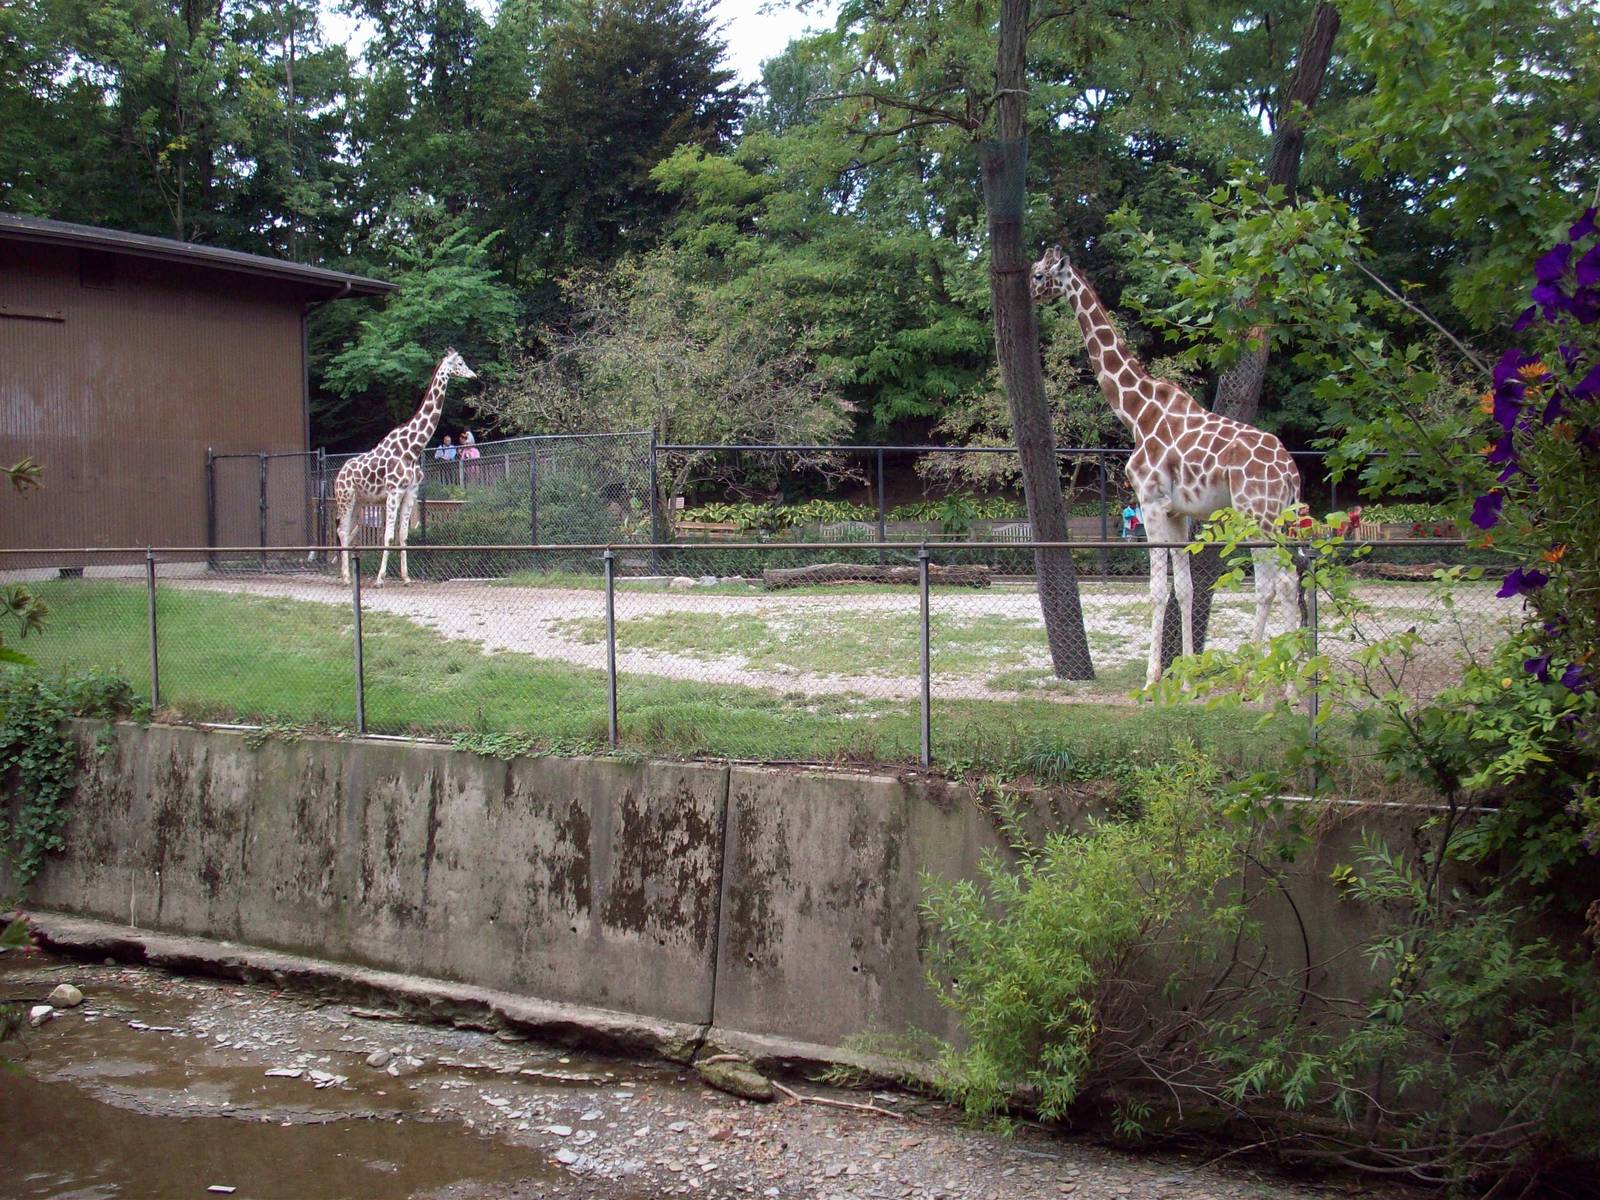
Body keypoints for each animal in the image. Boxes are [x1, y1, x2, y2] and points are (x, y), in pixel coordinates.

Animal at [332, 348, 476, 587]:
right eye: (459, 363)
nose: (473, 375)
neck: (413, 448)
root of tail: (338, 475)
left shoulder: (411, 491)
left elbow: (403, 534)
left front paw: (406, 577)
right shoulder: (394, 491)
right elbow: (388, 534)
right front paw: (380, 579)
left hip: (359, 501)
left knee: (348, 531)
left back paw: (349, 576)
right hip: (345, 497)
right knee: (342, 530)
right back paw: (344, 578)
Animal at [1029, 246, 1303, 687]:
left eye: (1039, 274)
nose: (1029, 292)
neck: (1137, 412)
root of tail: (1291, 473)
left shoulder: (1151, 502)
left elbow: (1158, 590)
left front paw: (1151, 679)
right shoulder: (1178, 512)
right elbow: (1185, 589)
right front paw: (1187, 678)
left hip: (1258, 515)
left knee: (1281, 580)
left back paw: (1278, 681)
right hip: (1269, 518)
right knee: (1274, 584)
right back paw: (1267, 677)